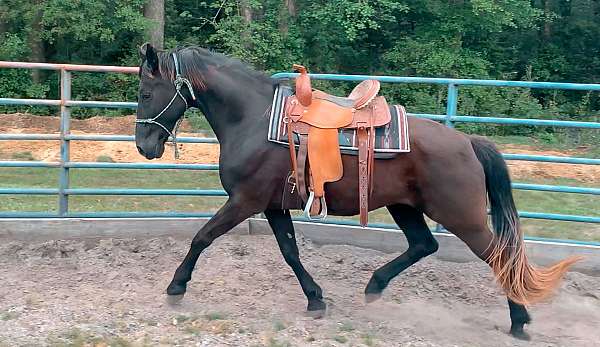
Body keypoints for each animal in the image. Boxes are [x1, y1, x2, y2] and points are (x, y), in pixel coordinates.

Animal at [134, 42, 580, 340]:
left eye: (145, 93)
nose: (144, 146)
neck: (255, 120)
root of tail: (467, 142)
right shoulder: (273, 206)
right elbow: (290, 252)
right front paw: (316, 299)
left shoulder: (245, 201)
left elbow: (202, 237)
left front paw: (175, 288)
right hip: (406, 207)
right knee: (424, 245)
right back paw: (375, 286)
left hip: (462, 218)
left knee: (499, 256)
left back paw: (519, 321)